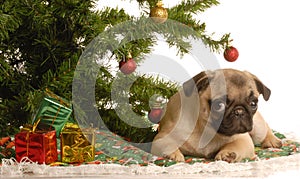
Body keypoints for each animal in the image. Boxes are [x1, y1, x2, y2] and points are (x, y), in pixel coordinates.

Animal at [151, 68, 282, 162]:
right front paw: (173, 154)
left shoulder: (243, 140)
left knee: (265, 128)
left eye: (253, 103)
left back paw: (272, 140)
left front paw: (228, 154)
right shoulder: (161, 137)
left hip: (257, 128)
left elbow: (235, 145)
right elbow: (168, 144)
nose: (239, 111)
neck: (206, 130)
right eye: (219, 105)